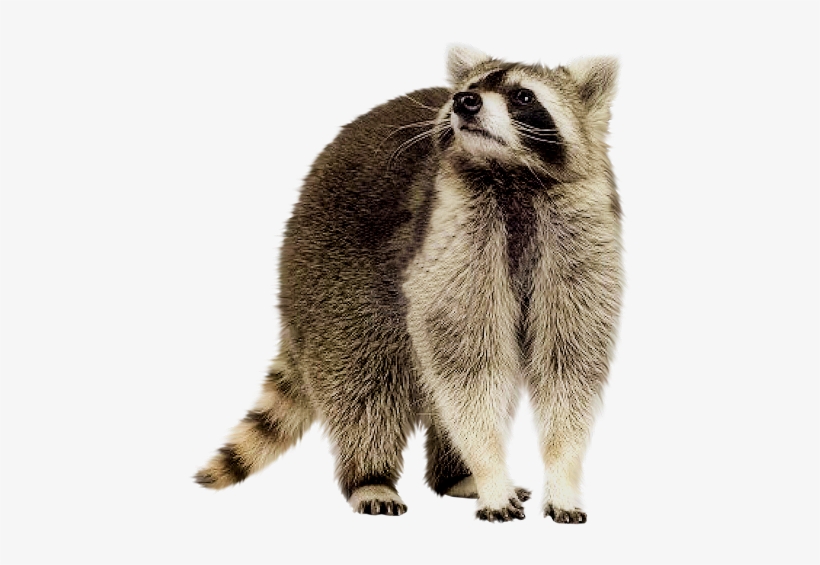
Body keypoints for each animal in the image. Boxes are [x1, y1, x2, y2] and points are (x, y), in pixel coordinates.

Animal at [195, 45, 622, 523]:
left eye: (524, 96)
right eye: (466, 89)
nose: (464, 102)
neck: (510, 173)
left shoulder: (579, 233)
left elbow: (569, 363)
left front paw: (562, 476)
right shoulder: (449, 232)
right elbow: (467, 367)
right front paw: (490, 470)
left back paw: (454, 474)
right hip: (330, 275)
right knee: (362, 379)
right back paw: (371, 475)